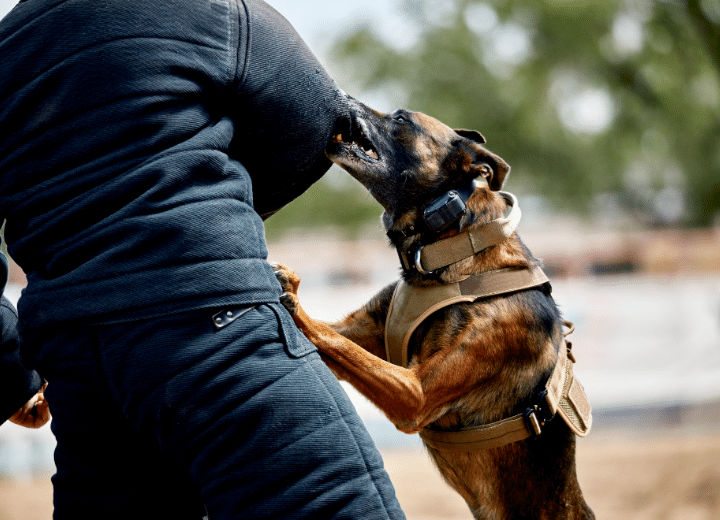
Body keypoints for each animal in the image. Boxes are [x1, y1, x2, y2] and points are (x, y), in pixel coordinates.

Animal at [272, 100, 592, 520]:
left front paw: (295, 301)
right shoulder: (367, 334)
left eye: (401, 119)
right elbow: (338, 340)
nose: (345, 99)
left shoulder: (416, 392)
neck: (451, 251)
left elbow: (335, 341)